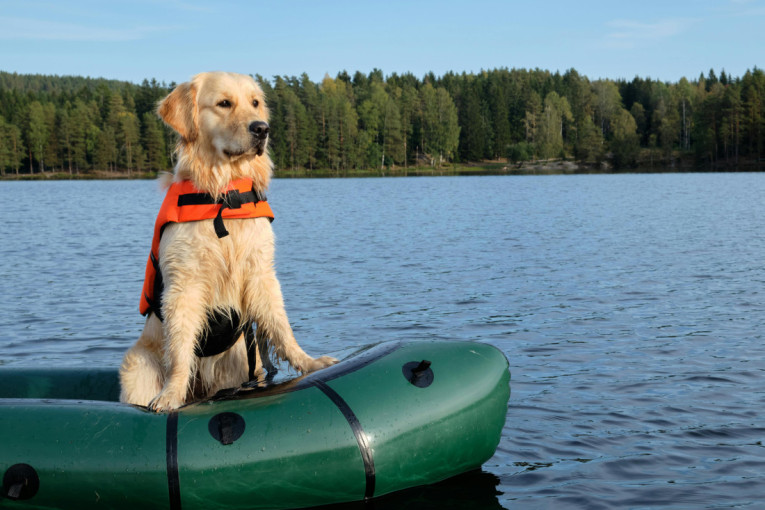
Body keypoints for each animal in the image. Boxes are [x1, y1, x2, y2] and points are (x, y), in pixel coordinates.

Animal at [119, 71, 334, 412]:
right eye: (223, 103)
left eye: (255, 102)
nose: (262, 128)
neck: (225, 195)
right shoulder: (184, 283)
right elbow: (180, 350)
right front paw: (170, 394)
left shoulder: (261, 272)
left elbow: (282, 327)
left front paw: (310, 362)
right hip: (138, 366)